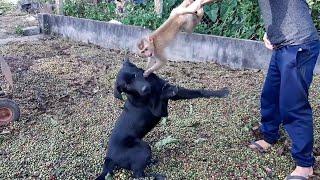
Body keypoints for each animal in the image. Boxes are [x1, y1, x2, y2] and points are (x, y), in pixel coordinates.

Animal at [96, 59, 229, 180]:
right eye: (126, 86)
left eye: (134, 75)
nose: (145, 89)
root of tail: (109, 158)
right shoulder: (159, 111)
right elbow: (162, 97)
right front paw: (166, 92)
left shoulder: (175, 92)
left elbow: (199, 91)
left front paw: (221, 92)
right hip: (143, 148)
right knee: (138, 175)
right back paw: (156, 175)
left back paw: (151, 162)